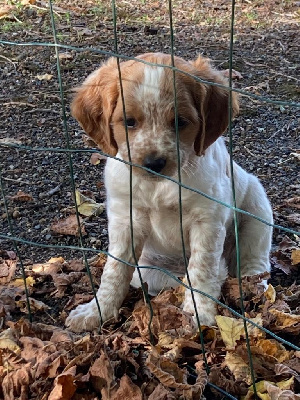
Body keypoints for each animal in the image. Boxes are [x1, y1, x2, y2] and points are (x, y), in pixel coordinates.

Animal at [65, 54, 272, 334]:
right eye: (129, 121)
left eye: (179, 122)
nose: (153, 163)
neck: (160, 185)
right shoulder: (125, 218)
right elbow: (115, 269)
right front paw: (97, 311)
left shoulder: (208, 220)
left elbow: (201, 270)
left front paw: (198, 316)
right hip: (149, 271)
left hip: (257, 206)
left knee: (254, 261)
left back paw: (252, 286)